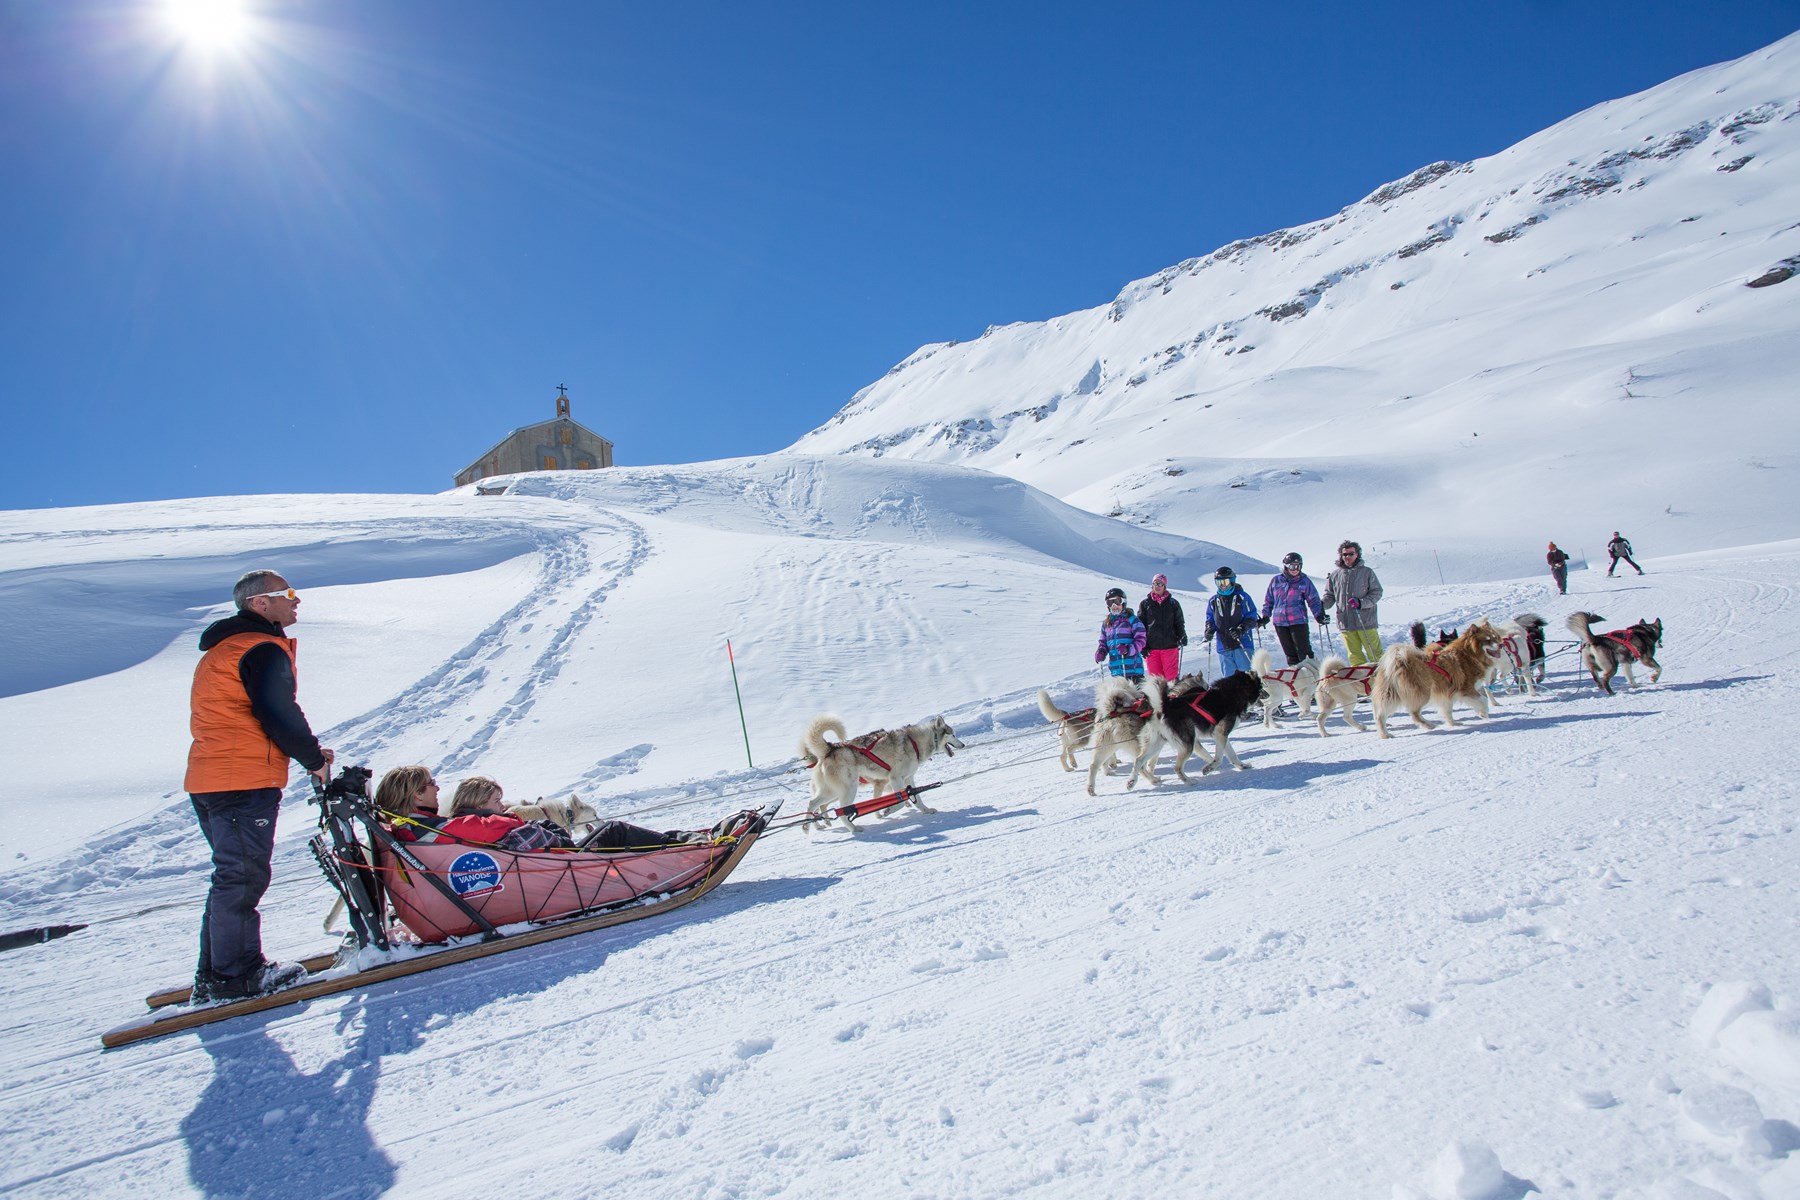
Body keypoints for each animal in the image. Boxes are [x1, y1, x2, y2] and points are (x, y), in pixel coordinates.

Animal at [806, 712, 972, 827]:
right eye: (954, 735)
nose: (963, 745)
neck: (916, 743)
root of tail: (830, 748)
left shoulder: (908, 779)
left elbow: (916, 799)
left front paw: (926, 810)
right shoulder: (895, 778)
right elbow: (900, 801)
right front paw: (886, 811)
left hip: (832, 792)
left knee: (813, 803)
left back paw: (811, 827)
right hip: (847, 789)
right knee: (839, 810)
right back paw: (852, 828)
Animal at [1137, 672, 1267, 784]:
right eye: (1261, 685)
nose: (1268, 694)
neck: (1230, 693)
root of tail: (1164, 707)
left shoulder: (1220, 735)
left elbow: (1232, 754)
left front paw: (1242, 766)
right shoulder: (1220, 733)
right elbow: (1218, 758)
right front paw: (1209, 768)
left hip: (1157, 743)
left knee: (1139, 761)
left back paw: (1136, 781)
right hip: (1187, 744)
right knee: (1177, 768)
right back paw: (1189, 781)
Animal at [1368, 626, 1512, 737]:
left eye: (1495, 637)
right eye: (1488, 640)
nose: (1501, 644)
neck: (1469, 654)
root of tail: (1398, 660)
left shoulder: (1446, 694)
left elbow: (1447, 711)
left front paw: (1453, 723)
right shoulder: (1466, 688)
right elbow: (1483, 699)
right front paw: (1483, 713)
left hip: (1390, 695)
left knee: (1380, 715)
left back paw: (1385, 734)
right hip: (1422, 693)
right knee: (1414, 714)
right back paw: (1429, 725)